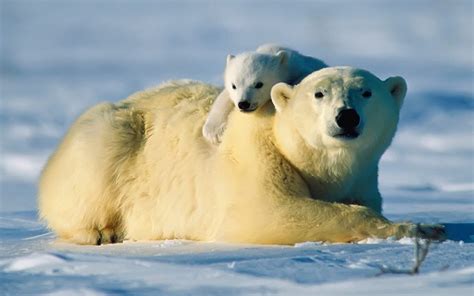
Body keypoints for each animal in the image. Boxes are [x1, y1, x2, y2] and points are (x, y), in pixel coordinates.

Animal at [39, 67, 442, 245]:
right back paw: (100, 232)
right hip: (110, 137)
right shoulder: (256, 157)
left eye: (366, 92)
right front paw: (421, 227)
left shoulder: (362, 177)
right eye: (319, 94)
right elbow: (270, 211)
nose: (347, 116)